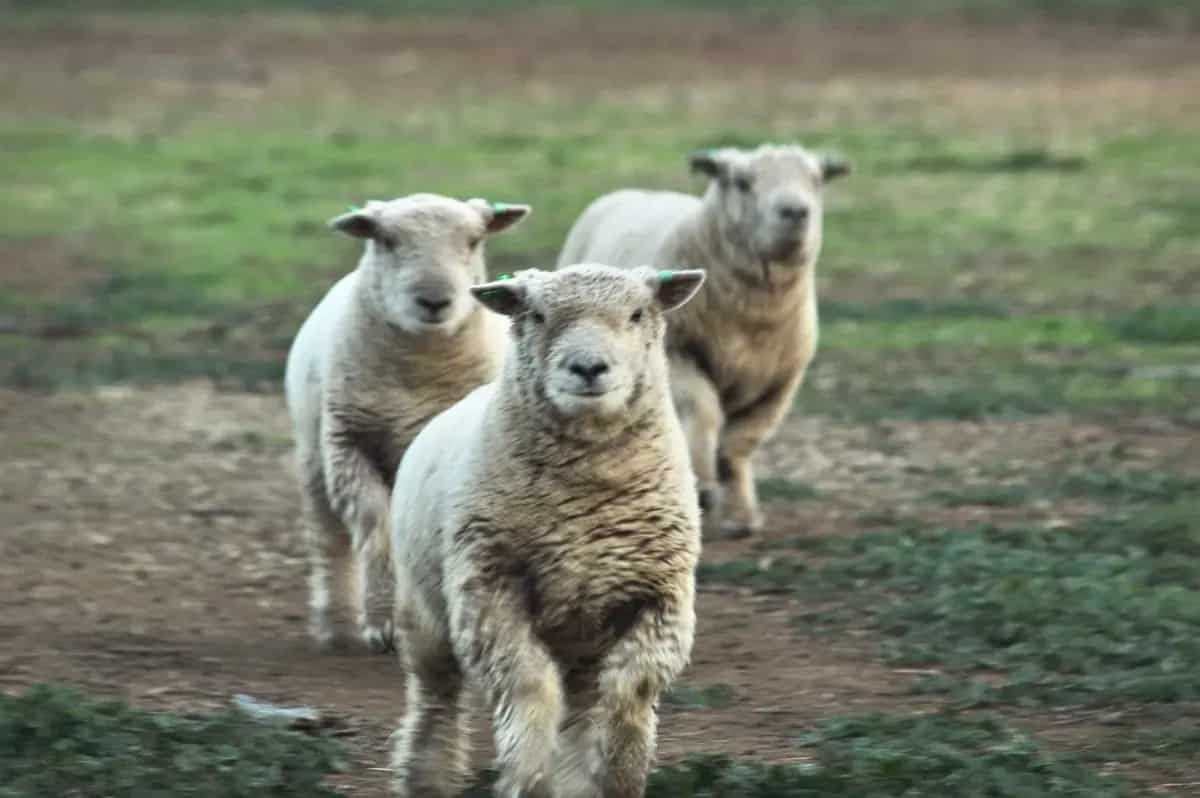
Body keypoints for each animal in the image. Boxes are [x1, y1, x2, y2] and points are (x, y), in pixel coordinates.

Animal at [284, 193, 530, 654]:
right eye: (387, 240)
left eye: (474, 240)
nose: (434, 300)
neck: (419, 372)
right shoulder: (348, 442)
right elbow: (374, 523)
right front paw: (382, 620)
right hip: (313, 459)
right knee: (329, 541)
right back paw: (335, 623)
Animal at [388, 263, 706, 798]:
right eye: (536, 314)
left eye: (637, 313)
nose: (589, 367)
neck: (584, 500)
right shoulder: (489, 589)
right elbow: (528, 686)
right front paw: (527, 774)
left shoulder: (661, 595)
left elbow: (630, 689)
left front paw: (620, 768)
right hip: (425, 611)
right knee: (436, 699)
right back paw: (426, 777)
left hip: (584, 638)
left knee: (581, 707)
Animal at [556, 143, 850, 538]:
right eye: (742, 182)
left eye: (816, 181)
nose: (795, 212)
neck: (752, 315)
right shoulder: (679, 355)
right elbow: (704, 412)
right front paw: (704, 487)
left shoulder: (780, 383)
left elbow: (738, 445)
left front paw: (741, 515)